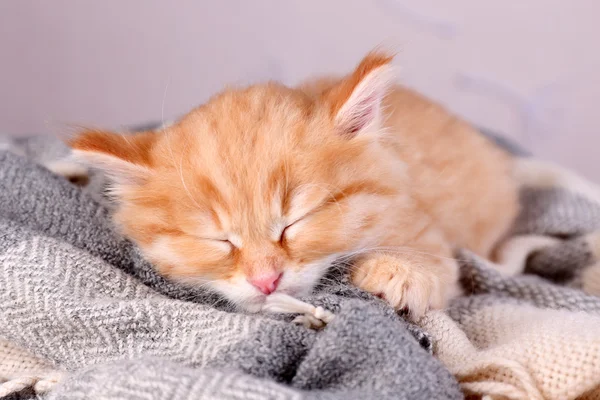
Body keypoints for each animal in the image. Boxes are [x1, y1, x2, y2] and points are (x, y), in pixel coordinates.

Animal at [69, 50, 520, 318]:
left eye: (294, 222)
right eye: (219, 241)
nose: (266, 281)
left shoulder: (421, 217)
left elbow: (432, 256)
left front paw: (400, 272)